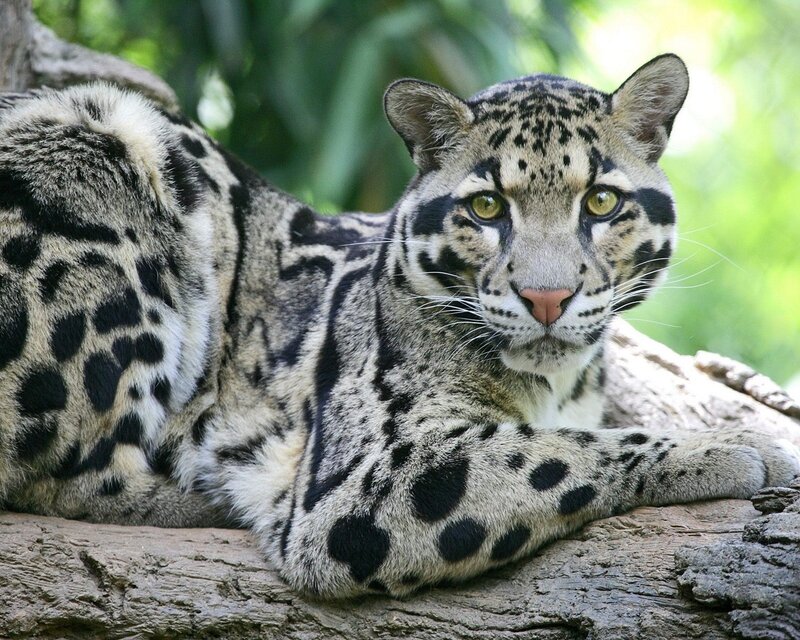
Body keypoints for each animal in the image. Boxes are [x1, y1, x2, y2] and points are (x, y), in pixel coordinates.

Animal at [0, 53, 798, 599]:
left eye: (601, 201)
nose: (546, 298)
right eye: (486, 207)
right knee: (61, 476)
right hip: (103, 137)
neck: (554, 380)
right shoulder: (360, 483)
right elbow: (554, 451)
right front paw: (738, 446)